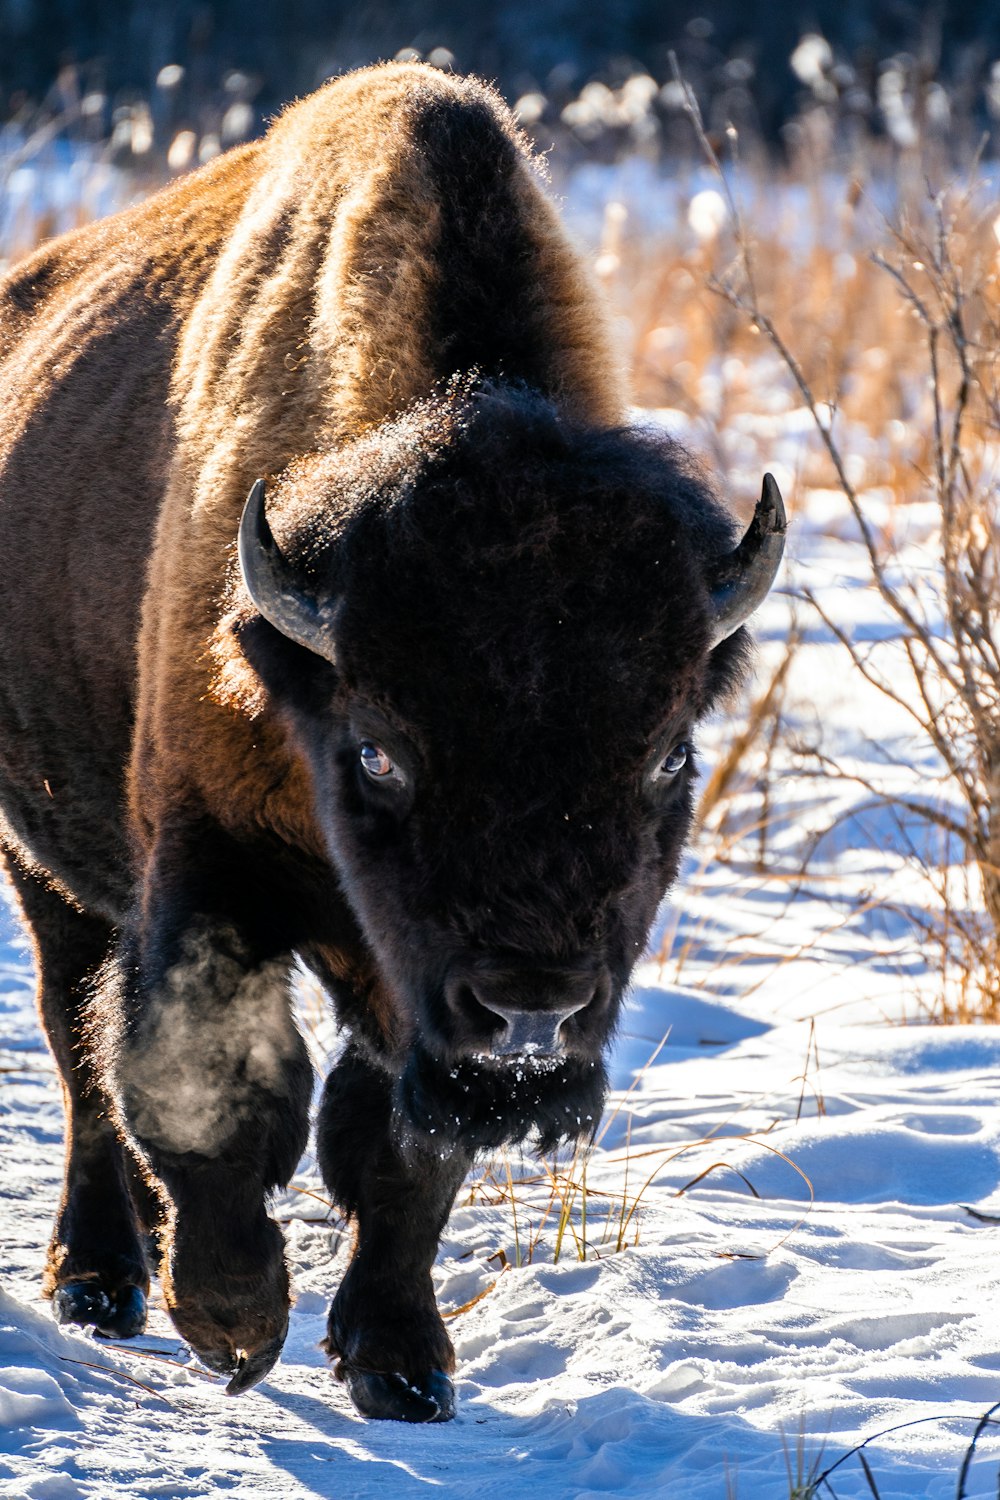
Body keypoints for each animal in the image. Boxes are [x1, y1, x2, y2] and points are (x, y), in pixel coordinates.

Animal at [0, 61, 785, 1416]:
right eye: (378, 750)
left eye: (668, 754)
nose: (532, 1012)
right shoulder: (204, 868)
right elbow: (199, 1079)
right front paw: (234, 1323)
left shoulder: (415, 1002)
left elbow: (396, 1148)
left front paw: (400, 1364)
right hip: (40, 860)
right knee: (73, 1041)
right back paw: (99, 1279)